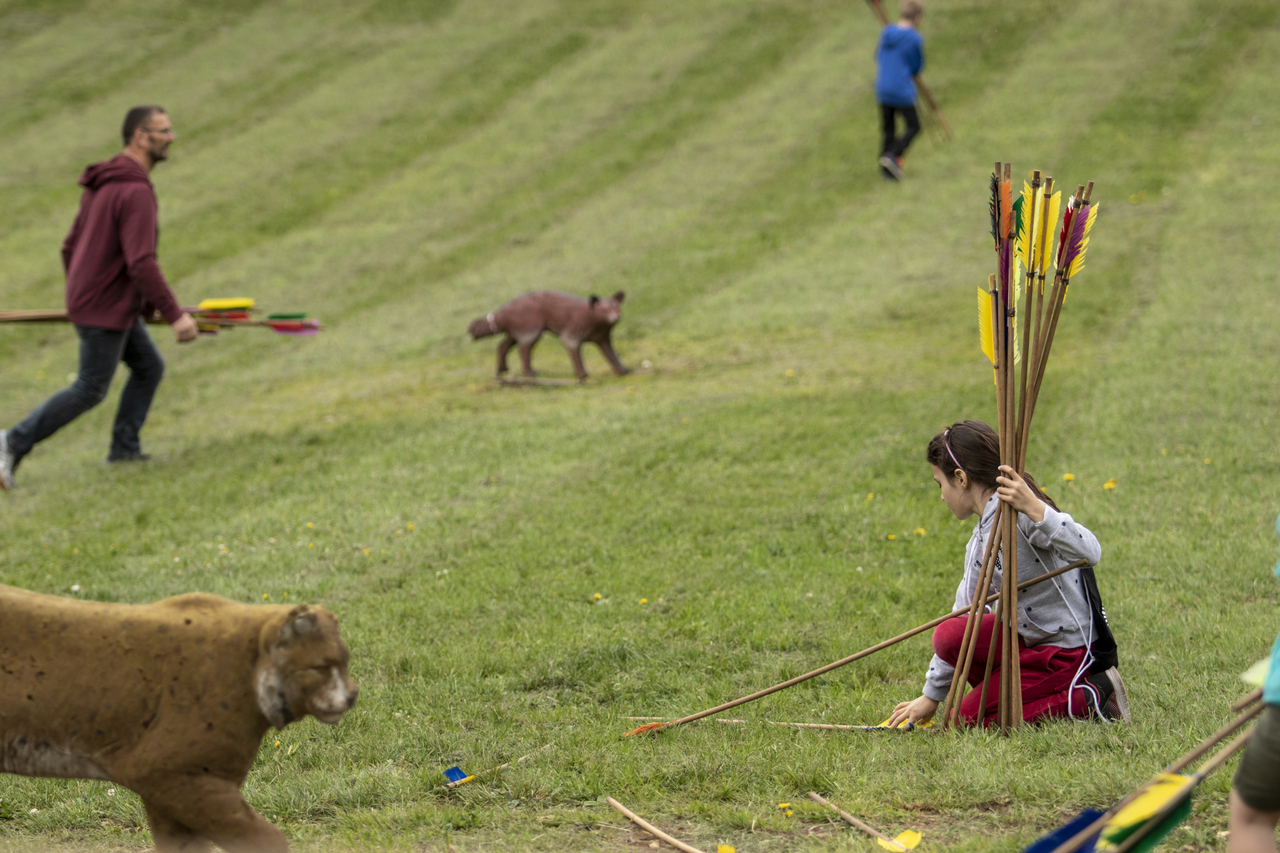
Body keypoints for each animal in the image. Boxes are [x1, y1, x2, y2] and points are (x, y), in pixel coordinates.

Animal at [471, 289, 629, 379]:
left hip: (518, 333)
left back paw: (502, 369)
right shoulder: (570, 335)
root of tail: (502, 311)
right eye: (605, 310)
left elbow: (612, 356)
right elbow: (576, 355)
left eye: (617, 308)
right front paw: (582, 375)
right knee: (523, 350)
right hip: (531, 332)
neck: (594, 324)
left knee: (502, 346)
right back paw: (529, 374)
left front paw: (622, 371)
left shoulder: (602, 339)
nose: (616, 318)